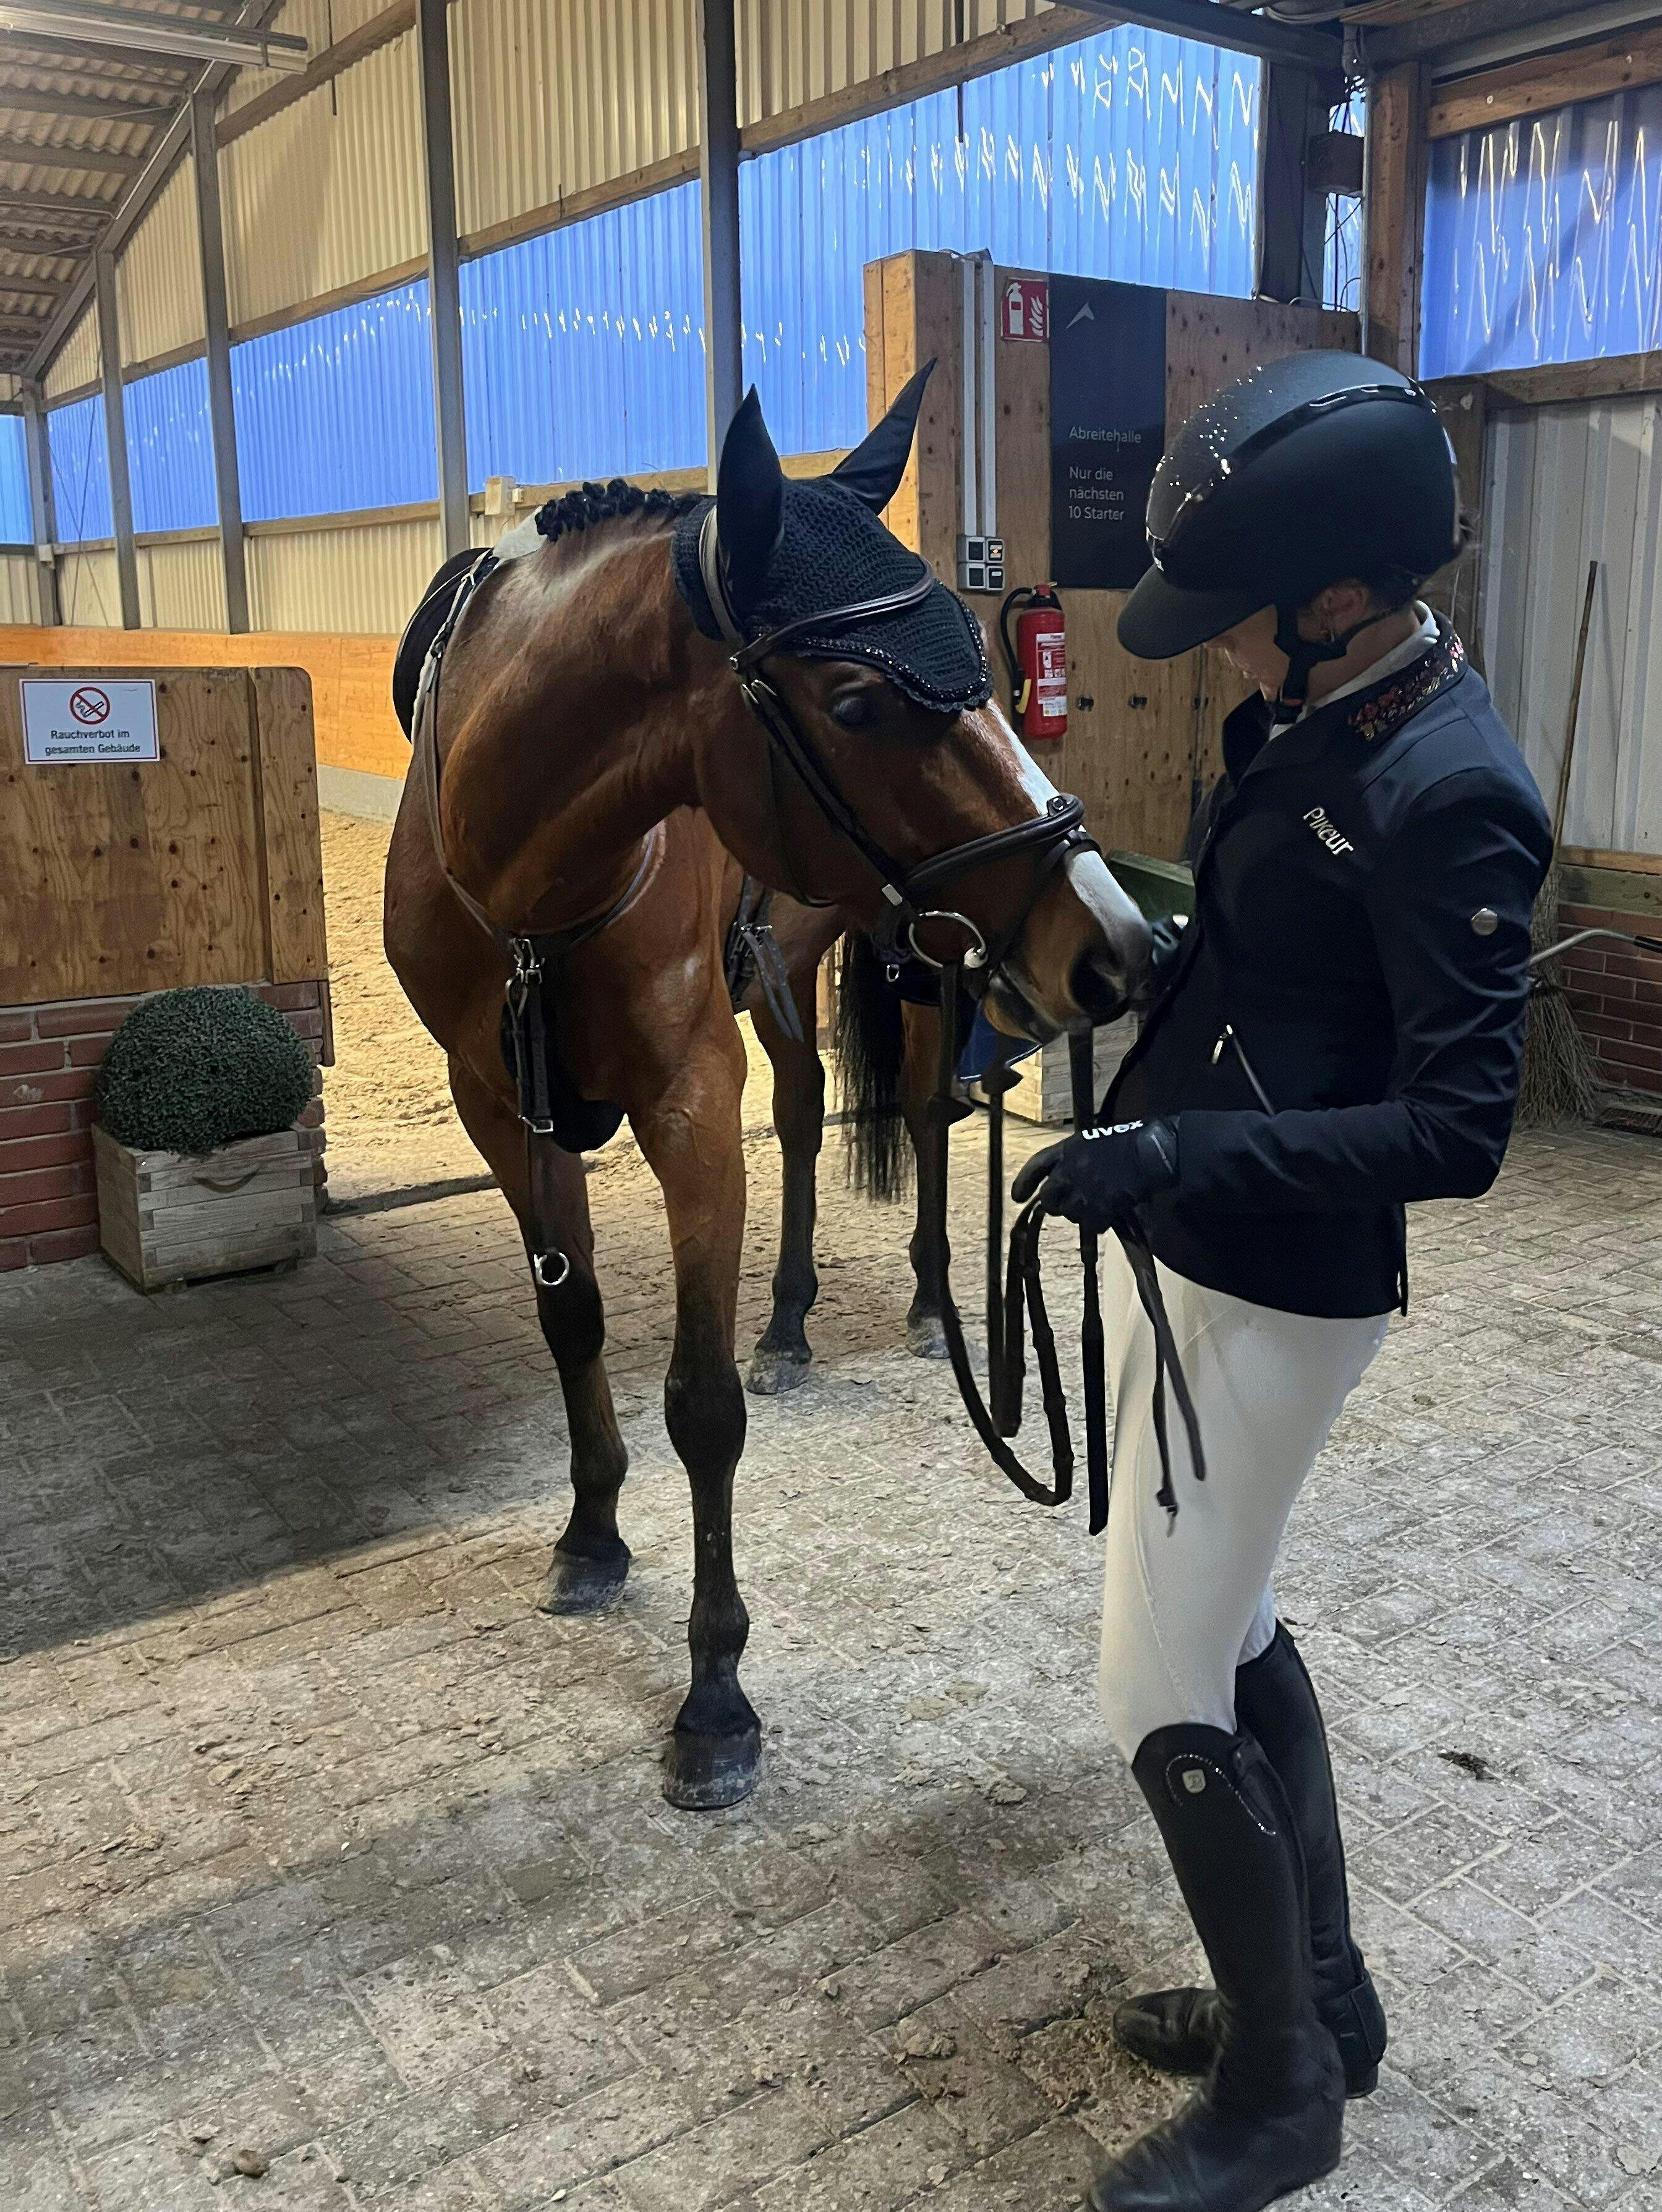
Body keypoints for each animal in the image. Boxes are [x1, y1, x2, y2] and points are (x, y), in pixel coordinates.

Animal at [384, 372, 1149, 1809]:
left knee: (920, 1116)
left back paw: (923, 1298)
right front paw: (590, 1531)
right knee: (800, 1119)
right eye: (853, 703)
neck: (529, 879)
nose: (1116, 941)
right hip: (790, 970)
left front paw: (715, 1695)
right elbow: (573, 1326)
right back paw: (790, 1318)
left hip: (921, 962)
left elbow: (700, 1403)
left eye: (983, 684)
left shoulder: (687, 1104)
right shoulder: (500, 1107)